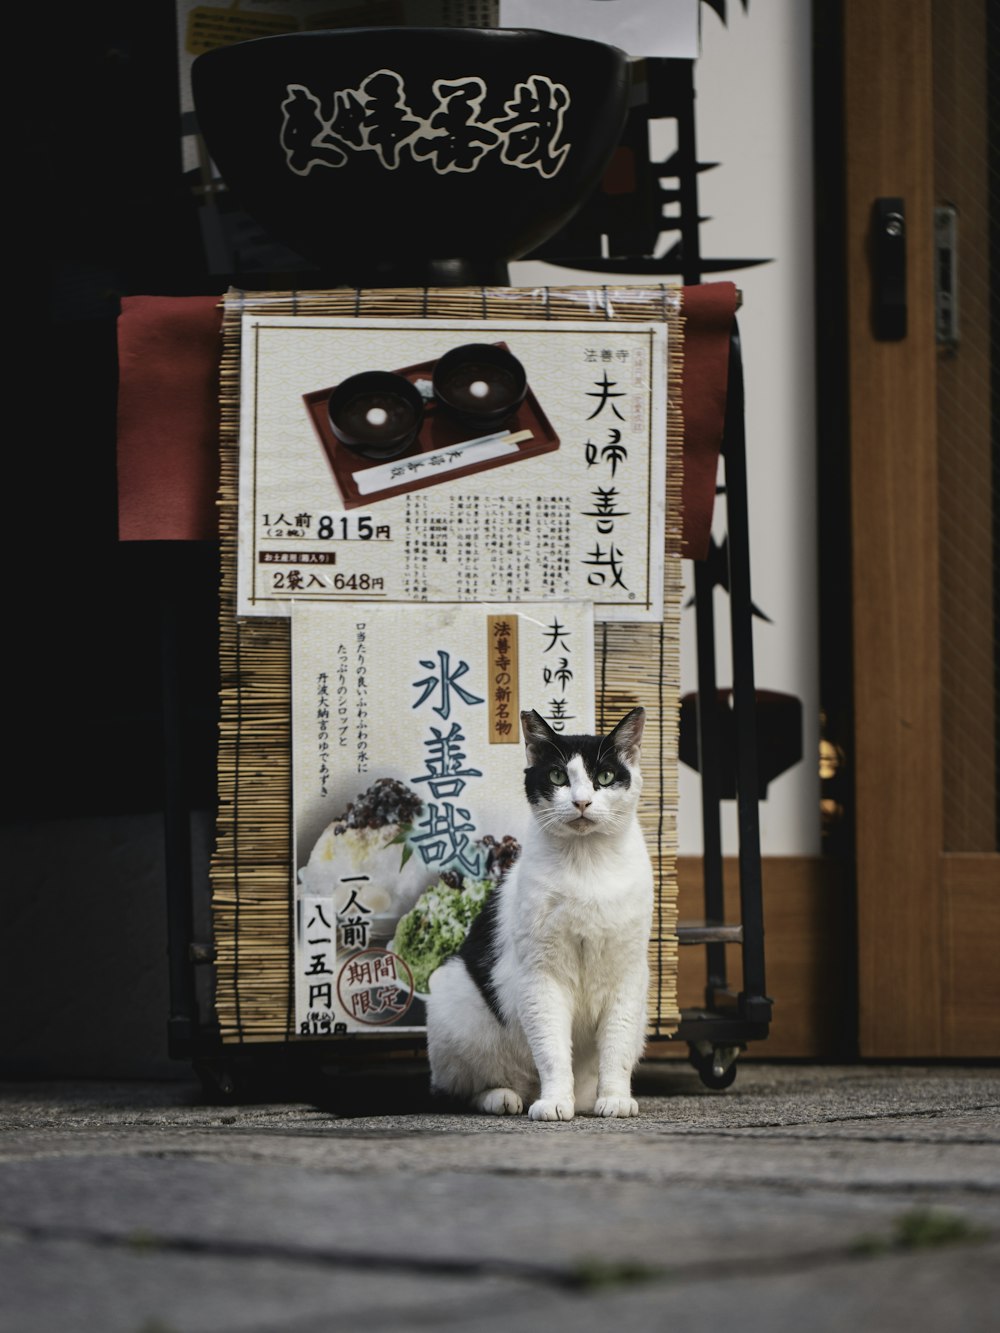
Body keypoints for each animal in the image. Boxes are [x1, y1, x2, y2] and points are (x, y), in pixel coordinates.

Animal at [426, 703, 653, 1119]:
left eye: (605, 776)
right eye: (558, 775)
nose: (581, 801)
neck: (586, 863)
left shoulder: (627, 975)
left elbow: (616, 1046)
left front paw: (615, 1098)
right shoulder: (541, 977)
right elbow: (551, 1048)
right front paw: (555, 1102)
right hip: (452, 1002)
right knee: (462, 1088)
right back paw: (504, 1097)